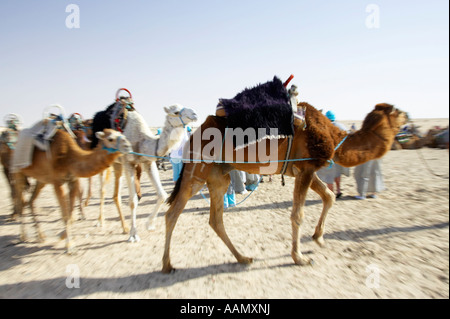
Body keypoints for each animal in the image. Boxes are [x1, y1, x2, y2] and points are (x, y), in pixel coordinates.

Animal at [92, 100, 198, 242]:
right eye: (176, 112)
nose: (194, 114)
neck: (142, 140)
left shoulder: (148, 162)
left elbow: (162, 195)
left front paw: (149, 224)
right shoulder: (128, 162)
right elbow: (133, 201)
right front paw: (133, 234)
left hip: (117, 164)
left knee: (115, 194)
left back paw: (123, 227)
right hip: (104, 160)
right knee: (102, 189)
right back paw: (100, 221)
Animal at [162, 102, 408, 272]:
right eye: (396, 111)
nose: (407, 115)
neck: (333, 136)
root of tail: (194, 134)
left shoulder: (305, 170)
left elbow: (329, 196)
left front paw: (318, 238)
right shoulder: (306, 168)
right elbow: (298, 214)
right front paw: (300, 258)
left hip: (218, 175)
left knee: (215, 219)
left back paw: (243, 258)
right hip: (197, 170)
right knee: (172, 213)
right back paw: (167, 265)